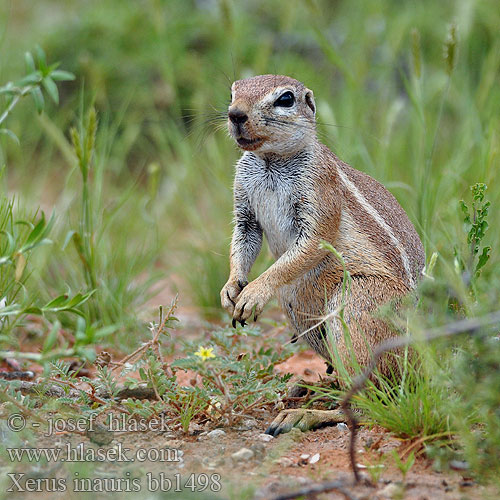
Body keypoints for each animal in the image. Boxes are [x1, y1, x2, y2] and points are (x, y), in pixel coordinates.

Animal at [220, 73, 426, 434]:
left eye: (285, 99)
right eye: (233, 93)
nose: (235, 114)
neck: (269, 161)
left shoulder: (319, 190)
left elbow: (309, 245)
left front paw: (254, 293)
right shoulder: (244, 205)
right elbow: (243, 239)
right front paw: (231, 289)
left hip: (355, 308)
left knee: (371, 403)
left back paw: (305, 414)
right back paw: (309, 387)